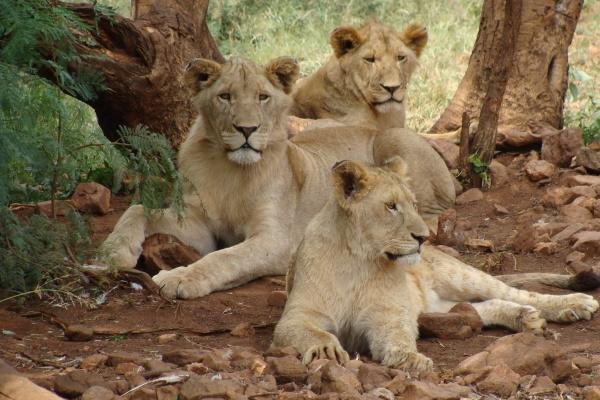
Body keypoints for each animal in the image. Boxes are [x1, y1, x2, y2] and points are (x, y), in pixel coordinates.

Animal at [101, 55, 454, 296]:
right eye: (225, 96)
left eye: (262, 96)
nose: (246, 129)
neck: (231, 171)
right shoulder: (198, 226)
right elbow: (138, 210)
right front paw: (113, 252)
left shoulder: (276, 239)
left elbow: (225, 258)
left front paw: (179, 278)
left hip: (392, 141)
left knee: (434, 214)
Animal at [274, 159, 600, 372]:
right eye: (391, 206)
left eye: (414, 205)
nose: (423, 237)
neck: (359, 259)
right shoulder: (297, 316)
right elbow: (315, 332)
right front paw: (326, 349)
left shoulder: (389, 314)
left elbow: (398, 335)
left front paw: (409, 359)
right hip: (435, 307)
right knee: (479, 309)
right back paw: (525, 318)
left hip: (461, 275)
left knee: (518, 293)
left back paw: (574, 305)